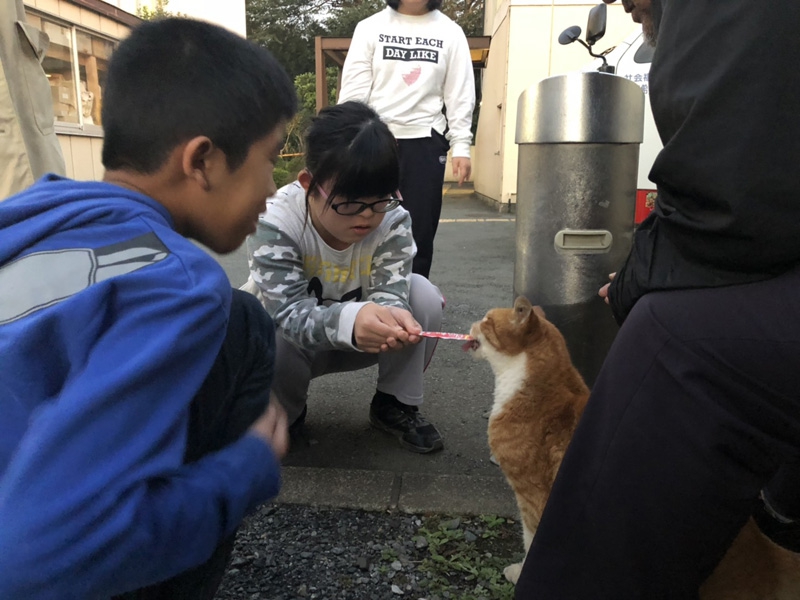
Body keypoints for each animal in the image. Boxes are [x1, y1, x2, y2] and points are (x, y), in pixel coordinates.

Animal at [466, 298, 800, 596]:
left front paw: (521, 572)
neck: (536, 386)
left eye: (486, 321)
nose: (470, 325)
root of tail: (768, 553)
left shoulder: (531, 496)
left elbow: (530, 537)